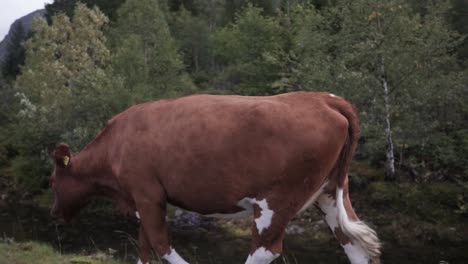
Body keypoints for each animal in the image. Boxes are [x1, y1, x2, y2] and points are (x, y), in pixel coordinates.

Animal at [49, 91, 382, 264]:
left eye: (52, 182)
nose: (55, 215)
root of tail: (322, 98)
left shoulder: (146, 193)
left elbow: (159, 243)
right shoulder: (141, 199)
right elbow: (144, 244)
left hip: (276, 201)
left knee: (264, 251)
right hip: (330, 192)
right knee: (355, 246)